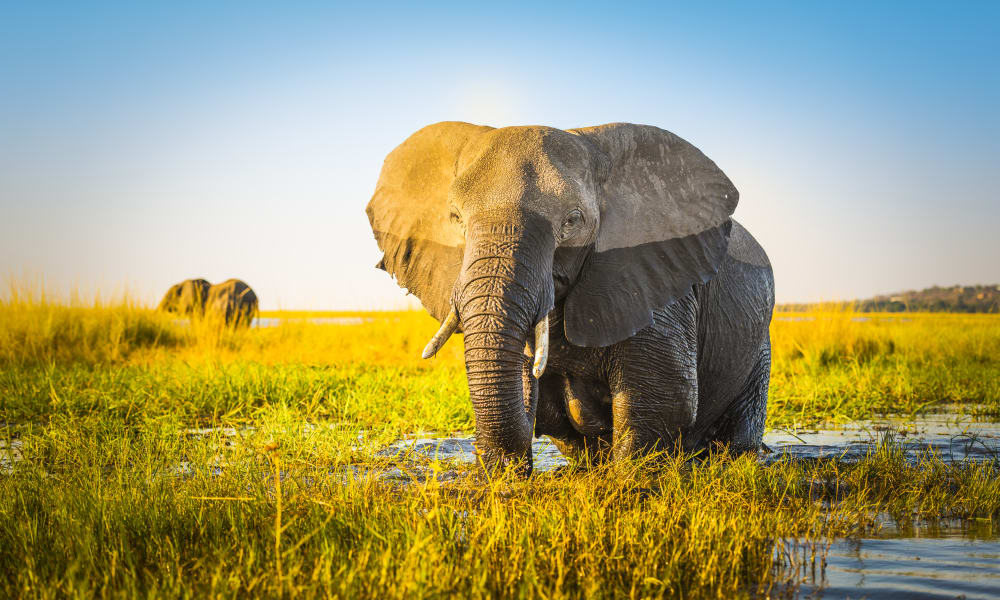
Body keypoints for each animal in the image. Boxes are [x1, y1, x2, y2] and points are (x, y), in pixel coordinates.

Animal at [368, 120, 772, 474]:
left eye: (572, 221)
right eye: (455, 218)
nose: (504, 469)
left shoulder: (655, 275)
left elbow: (664, 397)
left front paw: (628, 483)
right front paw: (501, 478)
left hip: (759, 347)